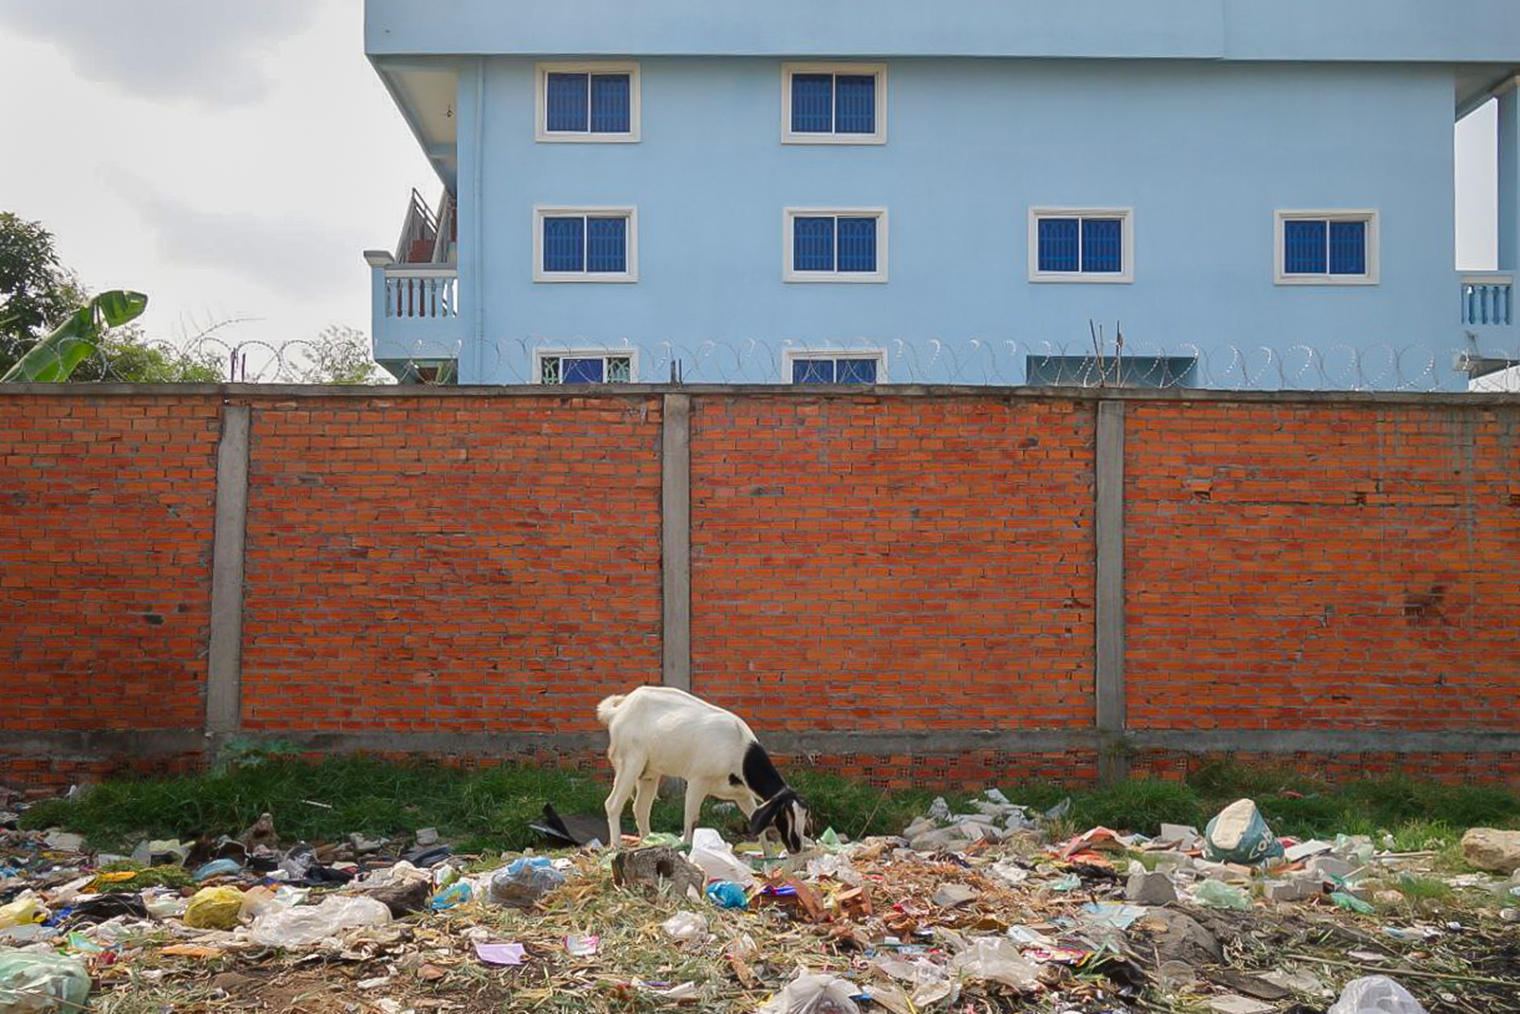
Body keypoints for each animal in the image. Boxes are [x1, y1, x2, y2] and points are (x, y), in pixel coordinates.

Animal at [592, 687, 814, 851]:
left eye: (805, 816)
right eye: (785, 814)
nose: (796, 847)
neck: (740, 750)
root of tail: (617, 712)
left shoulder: (741, 794)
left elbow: (754, 820)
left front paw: (768, 858)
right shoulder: (697, 780)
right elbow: (691, 819)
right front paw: (688, 853)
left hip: (649, 772)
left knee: (641, 809)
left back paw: (649, 844)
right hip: (630, 761)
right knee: (613, 804)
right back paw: (616, 848)